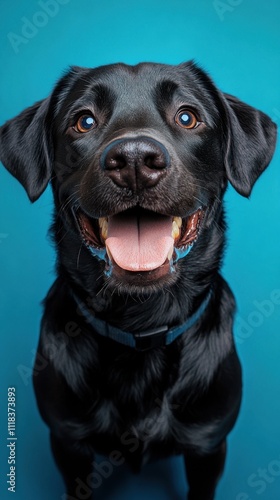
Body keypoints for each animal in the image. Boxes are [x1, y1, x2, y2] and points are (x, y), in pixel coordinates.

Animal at [0, 60, 276, 498]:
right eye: (84, 121)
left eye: (187, 117)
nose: (134, 160)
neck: (141, 325)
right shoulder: (68, 443)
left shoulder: (208, 445)